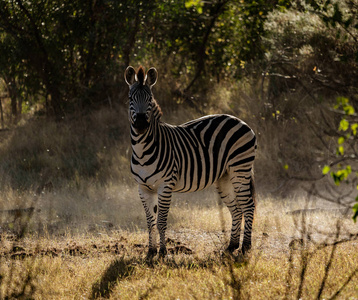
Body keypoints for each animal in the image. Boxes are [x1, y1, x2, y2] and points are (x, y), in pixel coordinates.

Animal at [124, 67, 256, 258]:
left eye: (150, 99)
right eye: (130, 98)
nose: (141, 125)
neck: (142, 151)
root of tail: (239, 120)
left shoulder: (165, 186)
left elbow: (161, 221)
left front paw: (162, 253)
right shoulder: (143, 189)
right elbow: (150, 222)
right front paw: (150, 252)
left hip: (240, 170)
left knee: (248, 206)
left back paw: (245, 247)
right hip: (225, 177)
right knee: (237, 210)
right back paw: (231, 247)